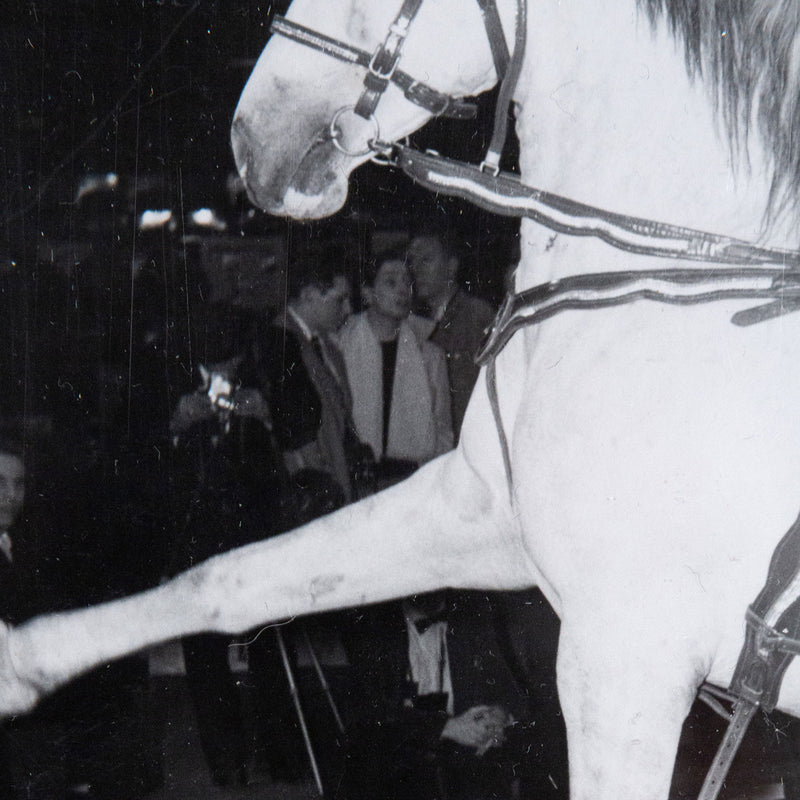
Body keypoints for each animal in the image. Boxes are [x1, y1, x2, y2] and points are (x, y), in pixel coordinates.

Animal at [4, 1, 800, 800]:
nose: (252, 137)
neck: (667, 283)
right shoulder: (481, 514)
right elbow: (232, 577)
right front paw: (25, 663)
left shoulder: (626, 656)